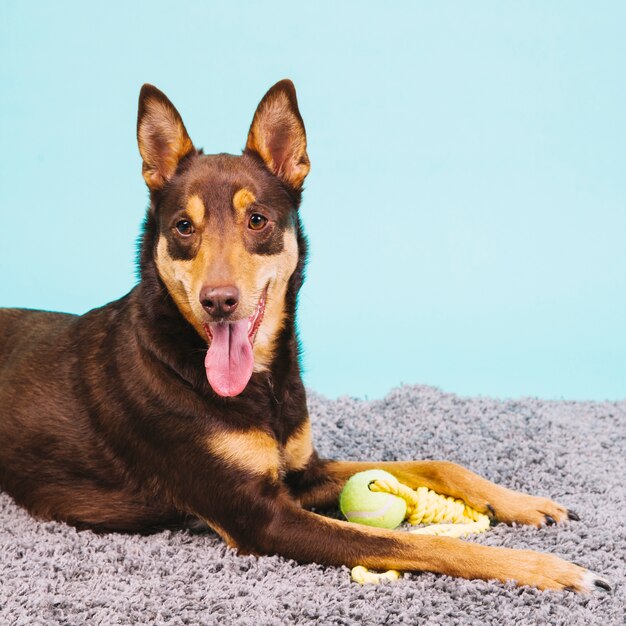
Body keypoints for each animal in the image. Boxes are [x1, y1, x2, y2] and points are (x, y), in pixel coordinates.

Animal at [0, 79, 608, 588]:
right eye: (183, 227)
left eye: (258, 220)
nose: (218, 302)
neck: (258, 384)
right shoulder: (260, 517)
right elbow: (406, 542)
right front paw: (545, 568)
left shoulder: (299, 472)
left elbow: (436, 463)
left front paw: (522, 503)